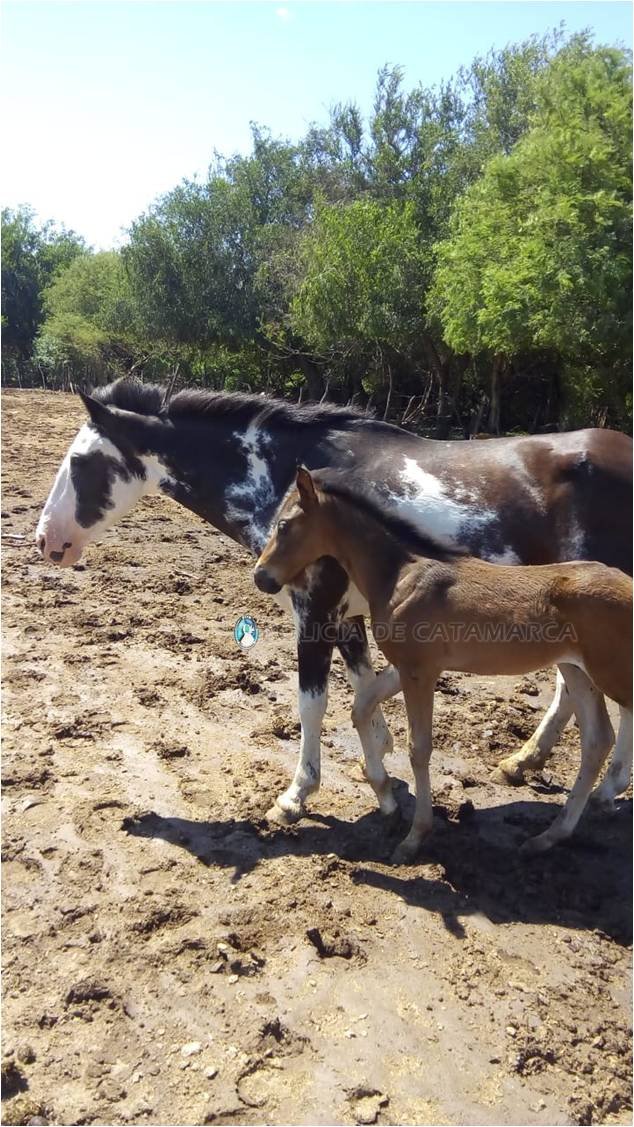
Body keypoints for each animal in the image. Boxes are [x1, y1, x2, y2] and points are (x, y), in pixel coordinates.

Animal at [37, 378, 630, 820]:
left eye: (81, 462)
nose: (46, 540)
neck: (292, 478)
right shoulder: (349, 620)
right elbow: (363, 693)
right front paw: (383, 783)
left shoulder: (315, 615)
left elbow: (313, 703)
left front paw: (297, 795)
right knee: (574, 688)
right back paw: (528, 763)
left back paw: (604, 787)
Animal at [254, 466, 634, 861]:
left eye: (284, 525)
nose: (261, 576)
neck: (401, 575)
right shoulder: (405, 666)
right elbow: (361, 709)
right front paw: (384, 794)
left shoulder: (419, 671)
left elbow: (418, 748)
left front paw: (414, 837)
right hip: (577, 671)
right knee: (596, 741)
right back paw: (549, 835)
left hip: (611, 672)